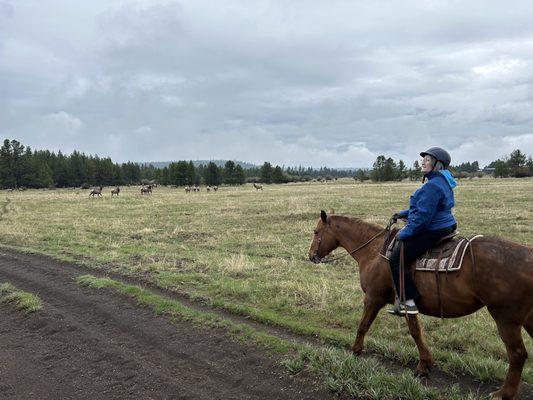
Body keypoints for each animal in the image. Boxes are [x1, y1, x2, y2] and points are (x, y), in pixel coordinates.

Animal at [308, 211, 532, 398]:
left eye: (316, 231)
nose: (311, 256)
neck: (373, 251)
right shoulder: (408, 304)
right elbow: (416, 332)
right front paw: (424, 365)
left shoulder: (373, 298)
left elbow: (363, 325)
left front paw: (355, 351)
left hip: (506, 319)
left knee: (517, 355)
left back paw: (503, 393)